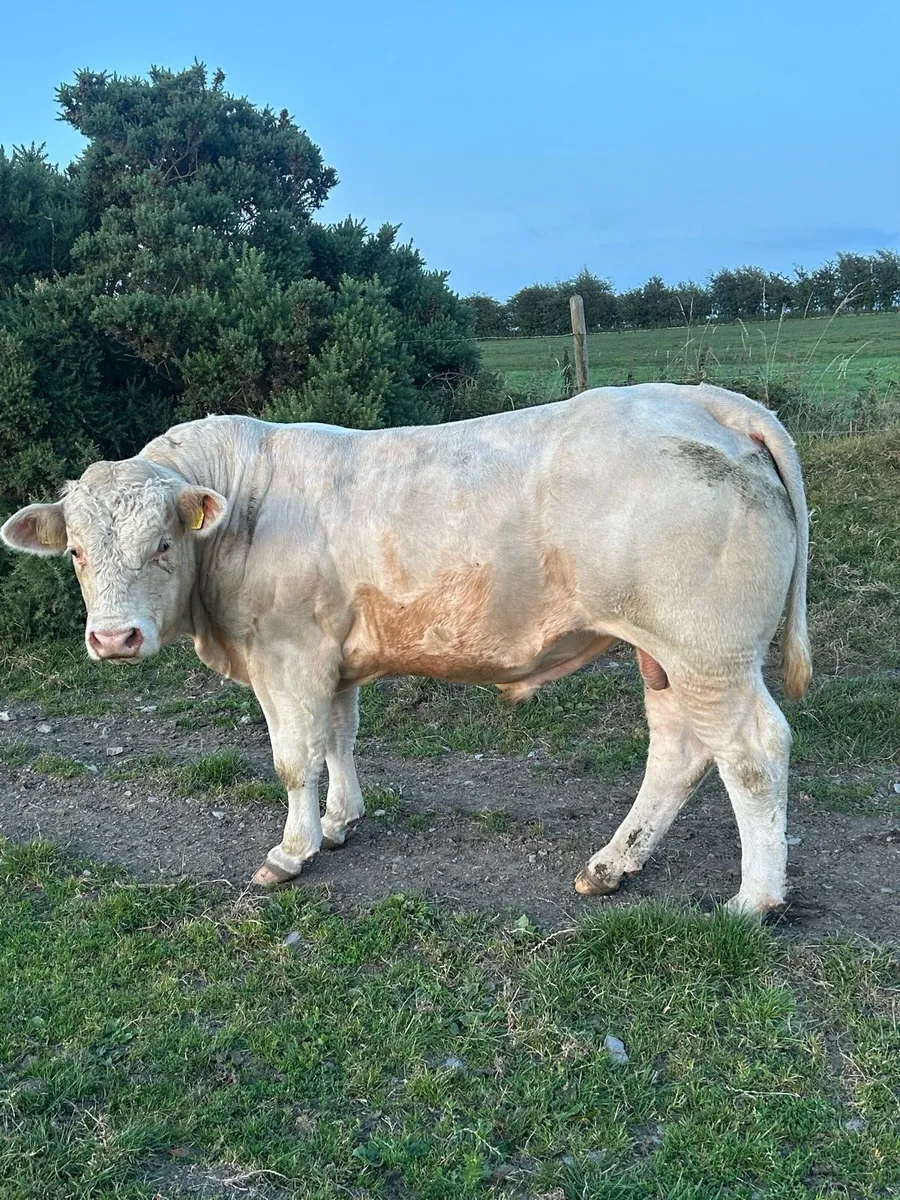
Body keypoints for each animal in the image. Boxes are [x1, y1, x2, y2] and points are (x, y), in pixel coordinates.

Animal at [0, 383, 812, 917]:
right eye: (75, 551)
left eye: (163, 544)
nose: (114, 638)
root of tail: (707, 400)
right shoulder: (333, 657)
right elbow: (338, 739)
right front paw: (339, 822)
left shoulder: (287, 655)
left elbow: (294, 759)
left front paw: (290, 851)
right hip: (670, 655)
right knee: (680, 748)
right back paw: (614, 864)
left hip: (708, 651)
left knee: (752, 753)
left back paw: (755, 899)